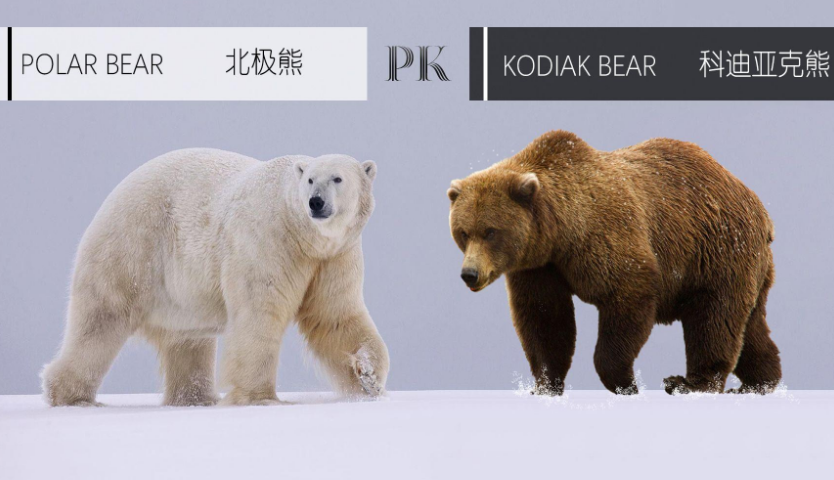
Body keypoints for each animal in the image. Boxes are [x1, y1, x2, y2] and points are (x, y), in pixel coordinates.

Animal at [42, 148, 389, 406]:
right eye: (311, 179)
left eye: (337, 178)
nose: (316, 202)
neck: (302, 235)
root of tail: (112, 197)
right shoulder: (267, 238)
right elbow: (259, 313)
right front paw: (259, 397)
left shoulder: (334, 256)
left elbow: (335, 315)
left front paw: (370, 378)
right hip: (132, 248)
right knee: (100, 321)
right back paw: (71, 396)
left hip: (178, 294)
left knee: (188, 341)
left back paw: (195, 398)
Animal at [447, 131, 781, 395]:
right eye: (463, 232)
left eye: (491, 231)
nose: (469, 274)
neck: (560, 232)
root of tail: (758, 206)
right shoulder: (539, 267)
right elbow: (545, 319)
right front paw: (544, 385)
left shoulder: (606, 236)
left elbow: (628, 295)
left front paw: (626, 382)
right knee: (750, 327)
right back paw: (760, 382)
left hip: (717, 249)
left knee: (714, 318)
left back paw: (688, 383)